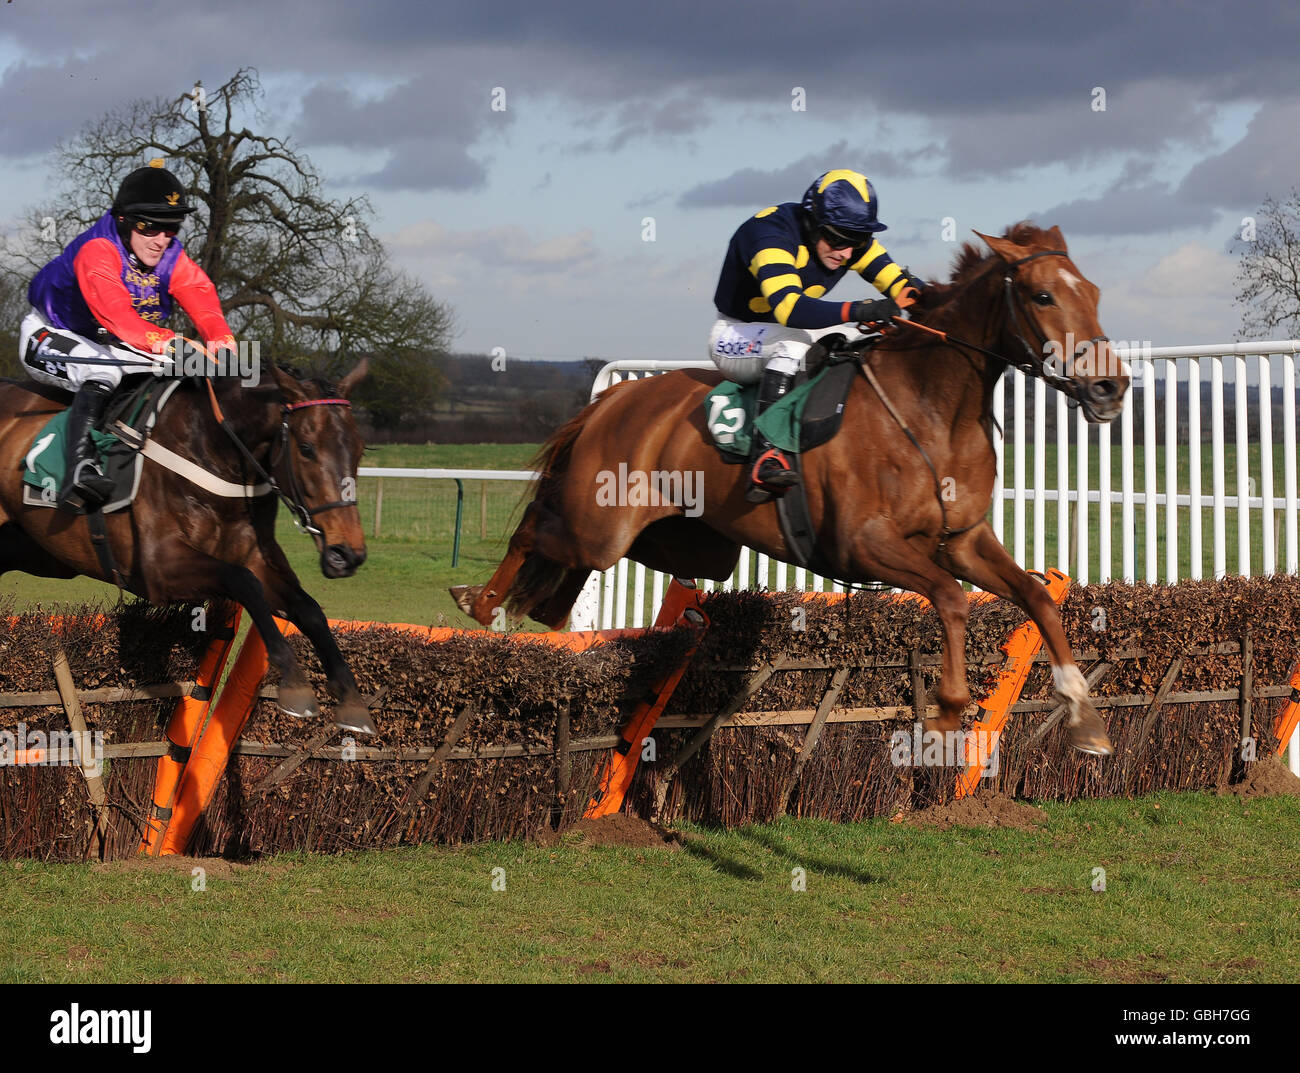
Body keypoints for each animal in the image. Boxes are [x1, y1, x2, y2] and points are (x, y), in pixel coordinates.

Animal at [0, 358, 377, 738]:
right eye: (307, 448)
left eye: (360, 449)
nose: (347, 554)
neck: (210, 450)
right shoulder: (159, 570)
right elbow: (243, 581)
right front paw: (295, 683)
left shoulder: (255, 557)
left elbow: (308, 608)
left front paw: (352, 702)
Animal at [454, 223, 1128, 754]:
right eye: (1043, 296)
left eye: (1095, 293)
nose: (1110, 387)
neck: (932, 410)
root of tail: (616, 399)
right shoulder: (864, 544)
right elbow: (951, 599)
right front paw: (946, 714)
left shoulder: (961, 539)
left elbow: (1037, 597)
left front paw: (1085, 717)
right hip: (601, 528)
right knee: (534, 529)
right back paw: (482, 605)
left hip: (683, 542)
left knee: (557, 576)